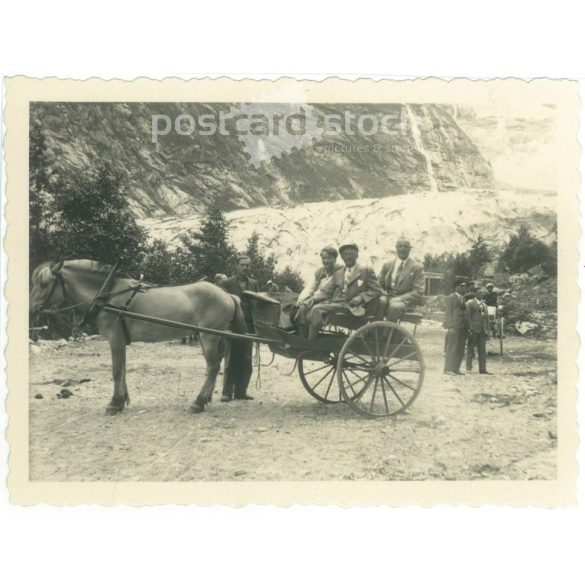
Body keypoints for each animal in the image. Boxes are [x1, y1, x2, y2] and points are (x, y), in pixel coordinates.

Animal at [28, 258, 248, 412]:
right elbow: (123, 369)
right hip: (207, 336)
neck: (108, 295)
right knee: (214, 366)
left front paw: (114, 403)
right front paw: (123, 400)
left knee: (213, 367)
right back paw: (206, 399)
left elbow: (117, 370)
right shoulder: (120, 340)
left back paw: (198, 402)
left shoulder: (115, 338)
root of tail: (227, 294)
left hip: (209, 337)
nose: (31, 310)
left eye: (45, 284)